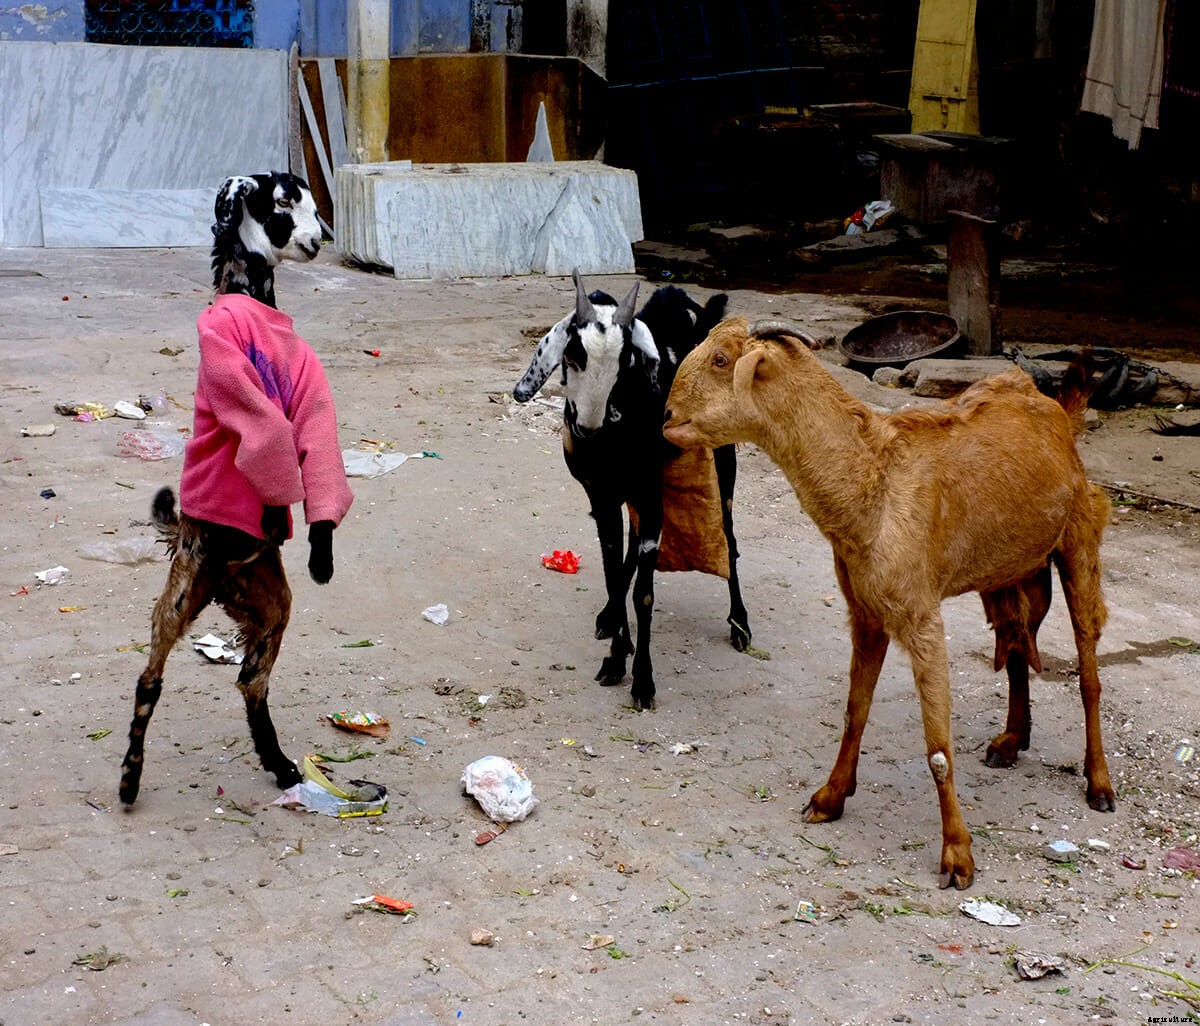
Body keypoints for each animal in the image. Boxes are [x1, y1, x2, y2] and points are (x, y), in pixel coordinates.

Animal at [120, 172, 355, 806]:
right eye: (283, 201)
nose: (318, 241)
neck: (250, 298)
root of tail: (217, 573)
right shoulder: (251, 381)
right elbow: (273, 438)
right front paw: (302, 538)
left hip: (250, 600)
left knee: (237, 678)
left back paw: (272, 765)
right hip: (193, 593)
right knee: (169, 677)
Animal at [512, 271, 750, 710]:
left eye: (626, 362)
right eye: (572, 355)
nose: (588, 427)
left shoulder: (649, 494)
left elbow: (644, 594)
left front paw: (642, 679)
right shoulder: (602, 497)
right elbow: (612, 571)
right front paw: (616, 656)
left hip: (723, 467)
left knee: (728, 540)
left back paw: (740, 624)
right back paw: (609, 616)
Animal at [664, 317, 1115, 889]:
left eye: (722, 359)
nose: (667, 418)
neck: (871, 484)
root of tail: (1058, 411)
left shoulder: (920, 614)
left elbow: (939, 748)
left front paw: (957, 855)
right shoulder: (866, 611)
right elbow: (855, 710)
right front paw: (829, 797)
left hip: (1079, 536)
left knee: (1089, 674)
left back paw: (1099, 783)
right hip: (1006, 570)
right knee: (1016, 645)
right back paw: (1012, 740)